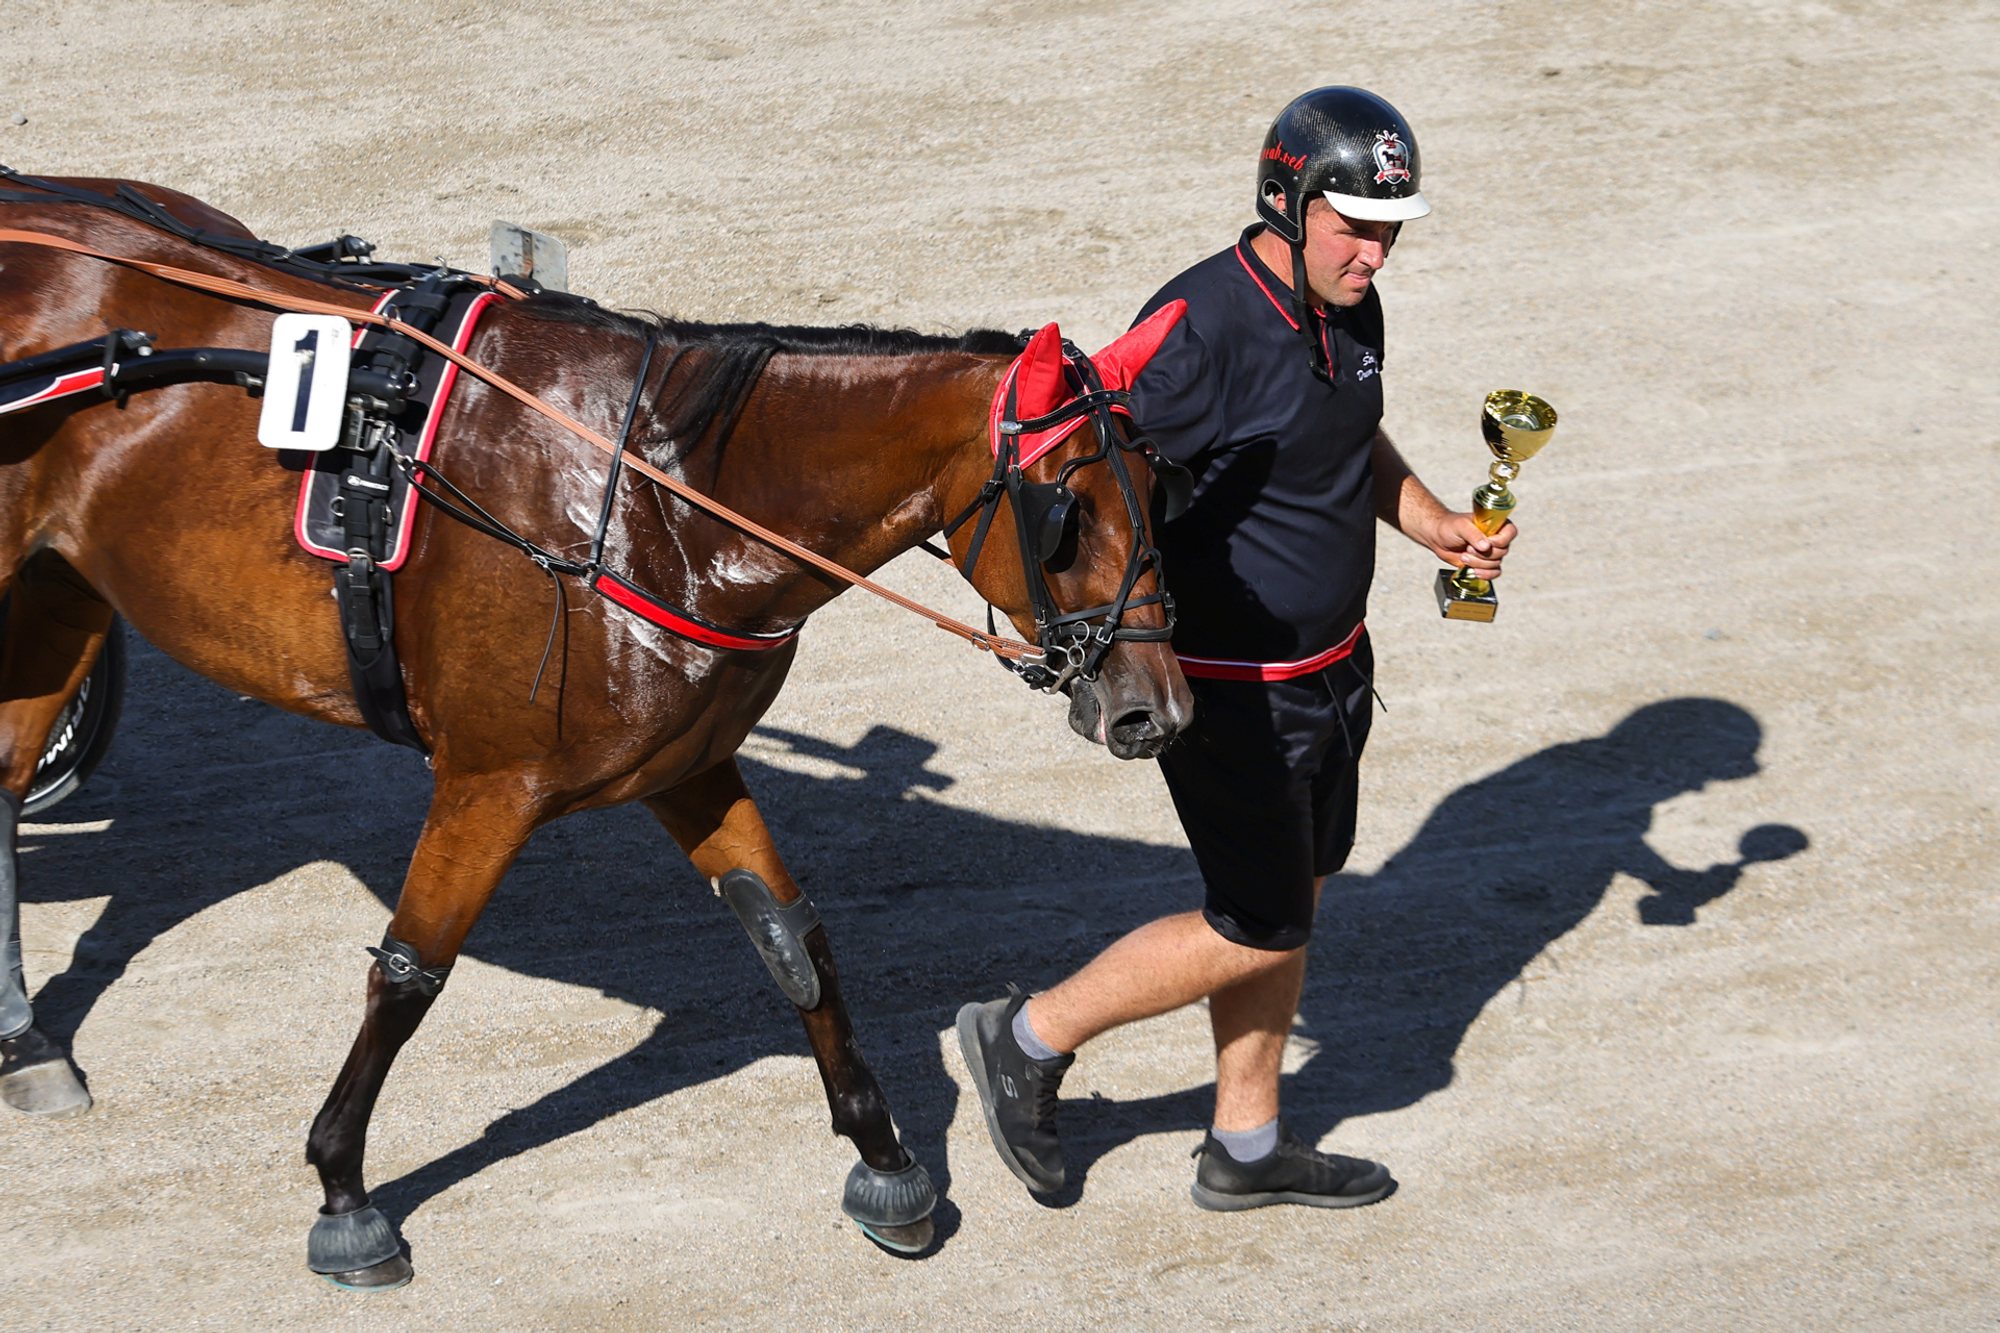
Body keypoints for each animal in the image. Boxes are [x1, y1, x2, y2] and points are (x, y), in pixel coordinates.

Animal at [0, 175, 1193, 1288]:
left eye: (1161, 487)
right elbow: (409, 975)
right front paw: (344, 1190)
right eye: (1066, 508)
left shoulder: (688, 762)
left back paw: (22, 1040)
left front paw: (884, 1158)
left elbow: (792, 940)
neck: (652, 500)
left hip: (64, 592)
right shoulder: (488, 781)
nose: (1158, 707)